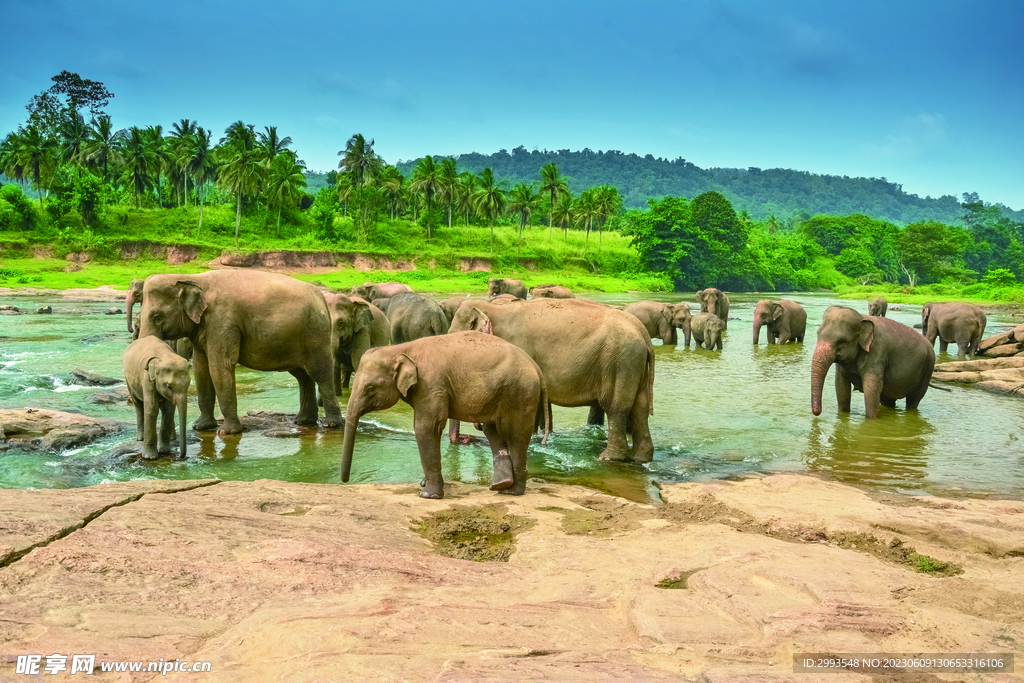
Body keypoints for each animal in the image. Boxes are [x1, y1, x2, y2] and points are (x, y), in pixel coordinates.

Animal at [137, 270, 339, 436]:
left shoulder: (222, 320)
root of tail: (321, 297)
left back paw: (330, 425)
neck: (192, 277)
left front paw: (227, 432)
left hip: (315, 333)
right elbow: (201, 369)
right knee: (302, 376)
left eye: (157, 317)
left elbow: (220, 366)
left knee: (320, 373)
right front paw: (201, 426)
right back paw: (303, 421)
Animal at [342, 331, 552, 499]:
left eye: (370, 388)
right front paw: (424, 485)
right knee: (492, 430)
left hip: (520, 393)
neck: (400, 349)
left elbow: (426, 428)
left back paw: (511, 491)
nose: (345, 480)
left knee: (515, 435)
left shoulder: (431, 384)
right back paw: (501, 485)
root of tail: (537, 368)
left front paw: (428, 495)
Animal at [450, 296, 655, 462]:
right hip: (633, 363)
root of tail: (643, 332)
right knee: (640, 408)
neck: (495, 308)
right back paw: (640, 458)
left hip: (620, 361)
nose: (467, 439)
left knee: (616, 408)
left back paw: (607, 458)